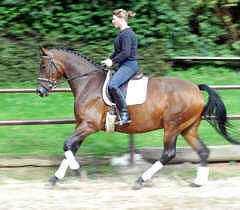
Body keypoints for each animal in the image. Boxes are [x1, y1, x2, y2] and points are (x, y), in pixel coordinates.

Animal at [36, 48, 239, 189]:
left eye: (43, 66)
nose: (40, 91)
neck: (87, 83)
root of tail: (196, 88)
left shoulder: (89, 125)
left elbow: (67, 145)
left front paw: (78, 171)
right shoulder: (82, 125)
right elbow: (71, 148)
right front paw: (55, 179)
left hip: (172, 126)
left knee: (168, 153)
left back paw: (141, 179)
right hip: (188, 128)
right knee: (203, 151)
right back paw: (198, 182)